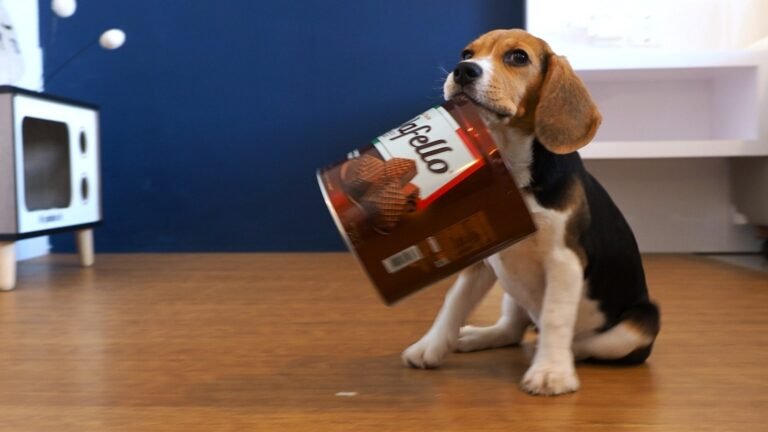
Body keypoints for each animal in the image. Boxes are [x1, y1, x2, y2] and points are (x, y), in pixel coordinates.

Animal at [402, 29, 660, 394]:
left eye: (518, 57)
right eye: (467, 53)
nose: (463, 70)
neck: (512, 169)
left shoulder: (564, 261)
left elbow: (555, 317)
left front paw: (551, 371)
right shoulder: (484, 257)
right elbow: (454, 302)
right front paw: (430, 347)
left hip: (641, 322)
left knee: (589, 342)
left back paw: (565, 352)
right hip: (512, 289)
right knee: (512, 327)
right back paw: (478, 336)